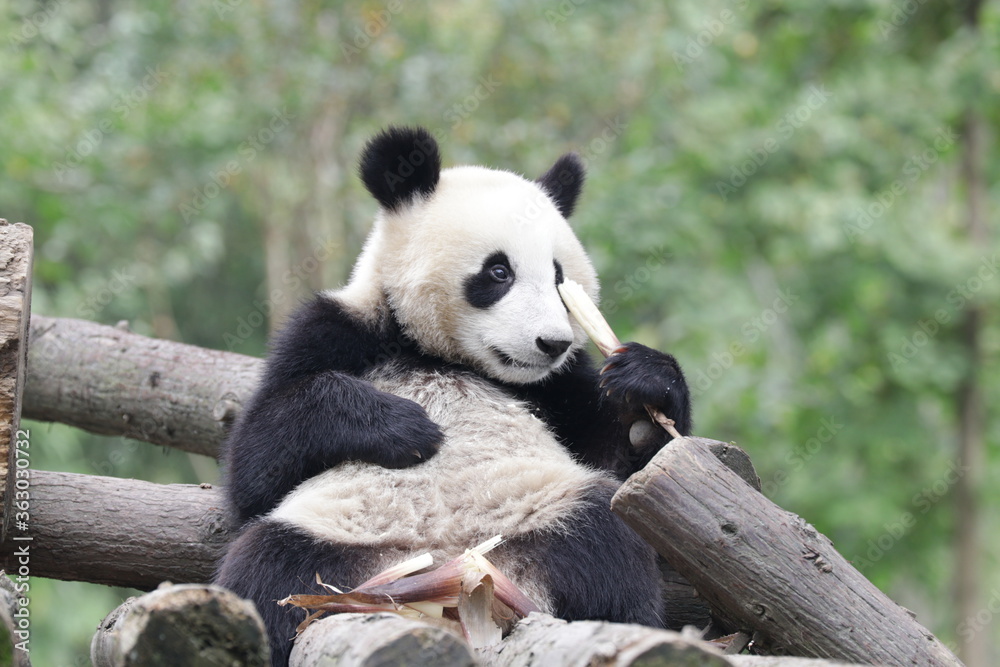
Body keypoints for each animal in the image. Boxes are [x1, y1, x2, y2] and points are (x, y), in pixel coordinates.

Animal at [215, 126, 692, 666]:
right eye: (499, 272)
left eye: (558, 277)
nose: (552, 343)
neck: (444, 356)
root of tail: (461, 587)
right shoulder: (333, 332)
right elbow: (254, 467)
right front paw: (404, 426)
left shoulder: (557, 388)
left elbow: (615, 449)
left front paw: (646, 386)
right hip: (338, 539)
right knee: (267, 571)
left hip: (549, 513)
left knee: (607, 549)